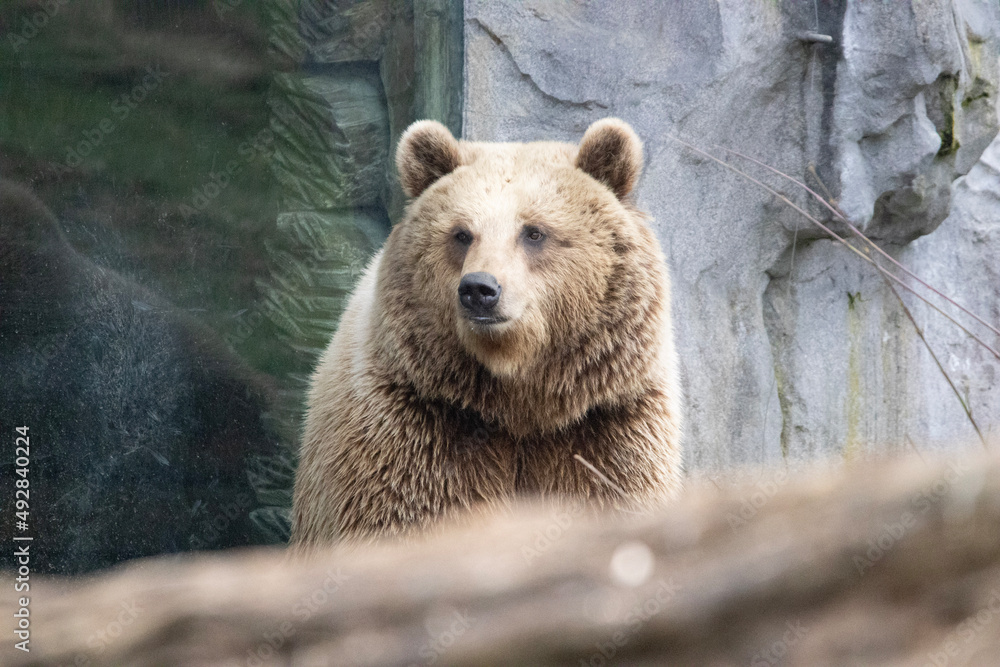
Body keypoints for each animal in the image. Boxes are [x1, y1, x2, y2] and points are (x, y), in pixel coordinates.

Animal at [291, 118, 682, 549]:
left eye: (534, 232)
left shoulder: (607, 426)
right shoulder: (417, 429)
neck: (518, 401)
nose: (479, 289)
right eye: (461, 233)